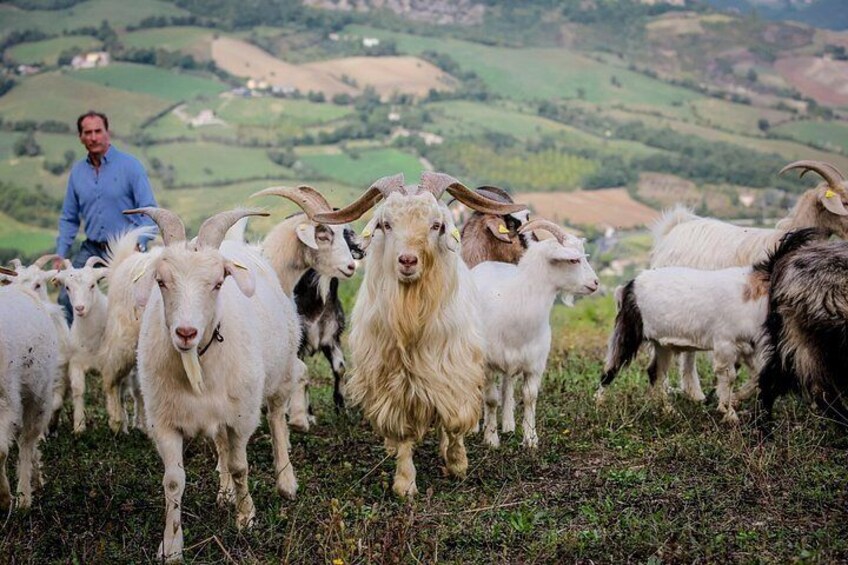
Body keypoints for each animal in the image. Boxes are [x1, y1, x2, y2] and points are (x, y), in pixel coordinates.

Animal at [127, 207, 304, 561]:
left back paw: (285, 481)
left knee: (277, 420)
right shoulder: (164, 422)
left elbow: (240, 466)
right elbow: (173, 481)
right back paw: (224, 493)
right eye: (161, 281)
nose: (185, 332)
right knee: (221, 443)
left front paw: (246, 518)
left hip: (282, 373)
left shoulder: (242, 417)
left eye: (218, 282)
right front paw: (171, 546)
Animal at [315, 172, 525, 497]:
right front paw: (405, 484)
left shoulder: (453, 369)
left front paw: (457, 463)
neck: (411, 317)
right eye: (386, 224)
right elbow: (401, 430)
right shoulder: (391, 379)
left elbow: (454, 420)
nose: (407, 261)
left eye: (436, 224)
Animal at [473, 218, 598, 448]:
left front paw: (530, 438)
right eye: (573, 260)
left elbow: (530, 397)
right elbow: (491, 399)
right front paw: (491, 439)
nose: (595, 283)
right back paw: (478, 427)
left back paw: (508, 424)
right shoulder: (487, 364)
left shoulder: (535, 364)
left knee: (507, 387)